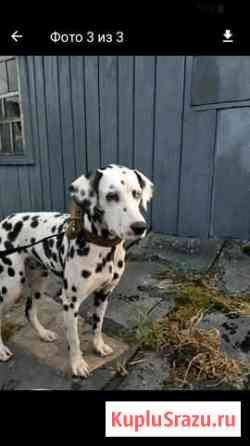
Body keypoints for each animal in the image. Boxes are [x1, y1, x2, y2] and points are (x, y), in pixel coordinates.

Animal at [0, 164, 152, 376]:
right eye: (111, 195)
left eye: (136, 193)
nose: (140, 227)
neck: (101, 245)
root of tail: (5, 220)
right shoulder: (70, 303)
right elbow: (74, 339)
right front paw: (77, 364)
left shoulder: (104, 294)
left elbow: (98, 326)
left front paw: (99, 346)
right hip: (11, 287)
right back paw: (2, 350)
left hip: (39, 280)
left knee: (29, 310)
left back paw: (43, 334)